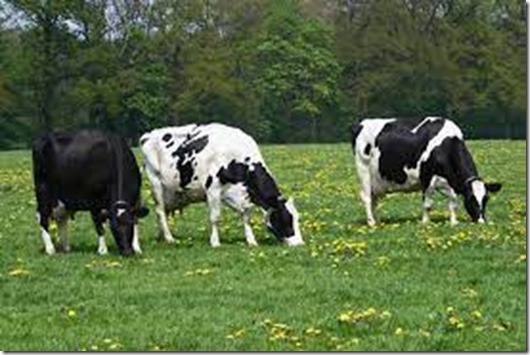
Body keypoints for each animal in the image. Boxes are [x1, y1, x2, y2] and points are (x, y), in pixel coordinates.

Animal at [138, 122, 304, 248]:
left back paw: (162, 237)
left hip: (171, 192)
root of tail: (149, 135)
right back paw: (170, 238)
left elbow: (246, 217)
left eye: (297, 218)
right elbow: (215, 217)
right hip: (156, 183)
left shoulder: (243, 194)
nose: (300, 244)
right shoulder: (213, 189)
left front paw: (251, 241)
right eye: (286, 218)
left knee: (163, 213)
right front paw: (215, 242)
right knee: (160, 211)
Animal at [350, 118, 500, 227]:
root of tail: (362, 123)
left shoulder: (447, 182)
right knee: (366, 197)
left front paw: (453, 222)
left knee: (374, 198)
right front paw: (425, 222)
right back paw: (371, 223)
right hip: (363, 170)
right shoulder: (427, 179)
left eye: (486, 199)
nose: (481, 221)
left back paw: (378, 221)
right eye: (470, 199)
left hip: (376, 180)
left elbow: (453, 202)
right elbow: (428, 204)